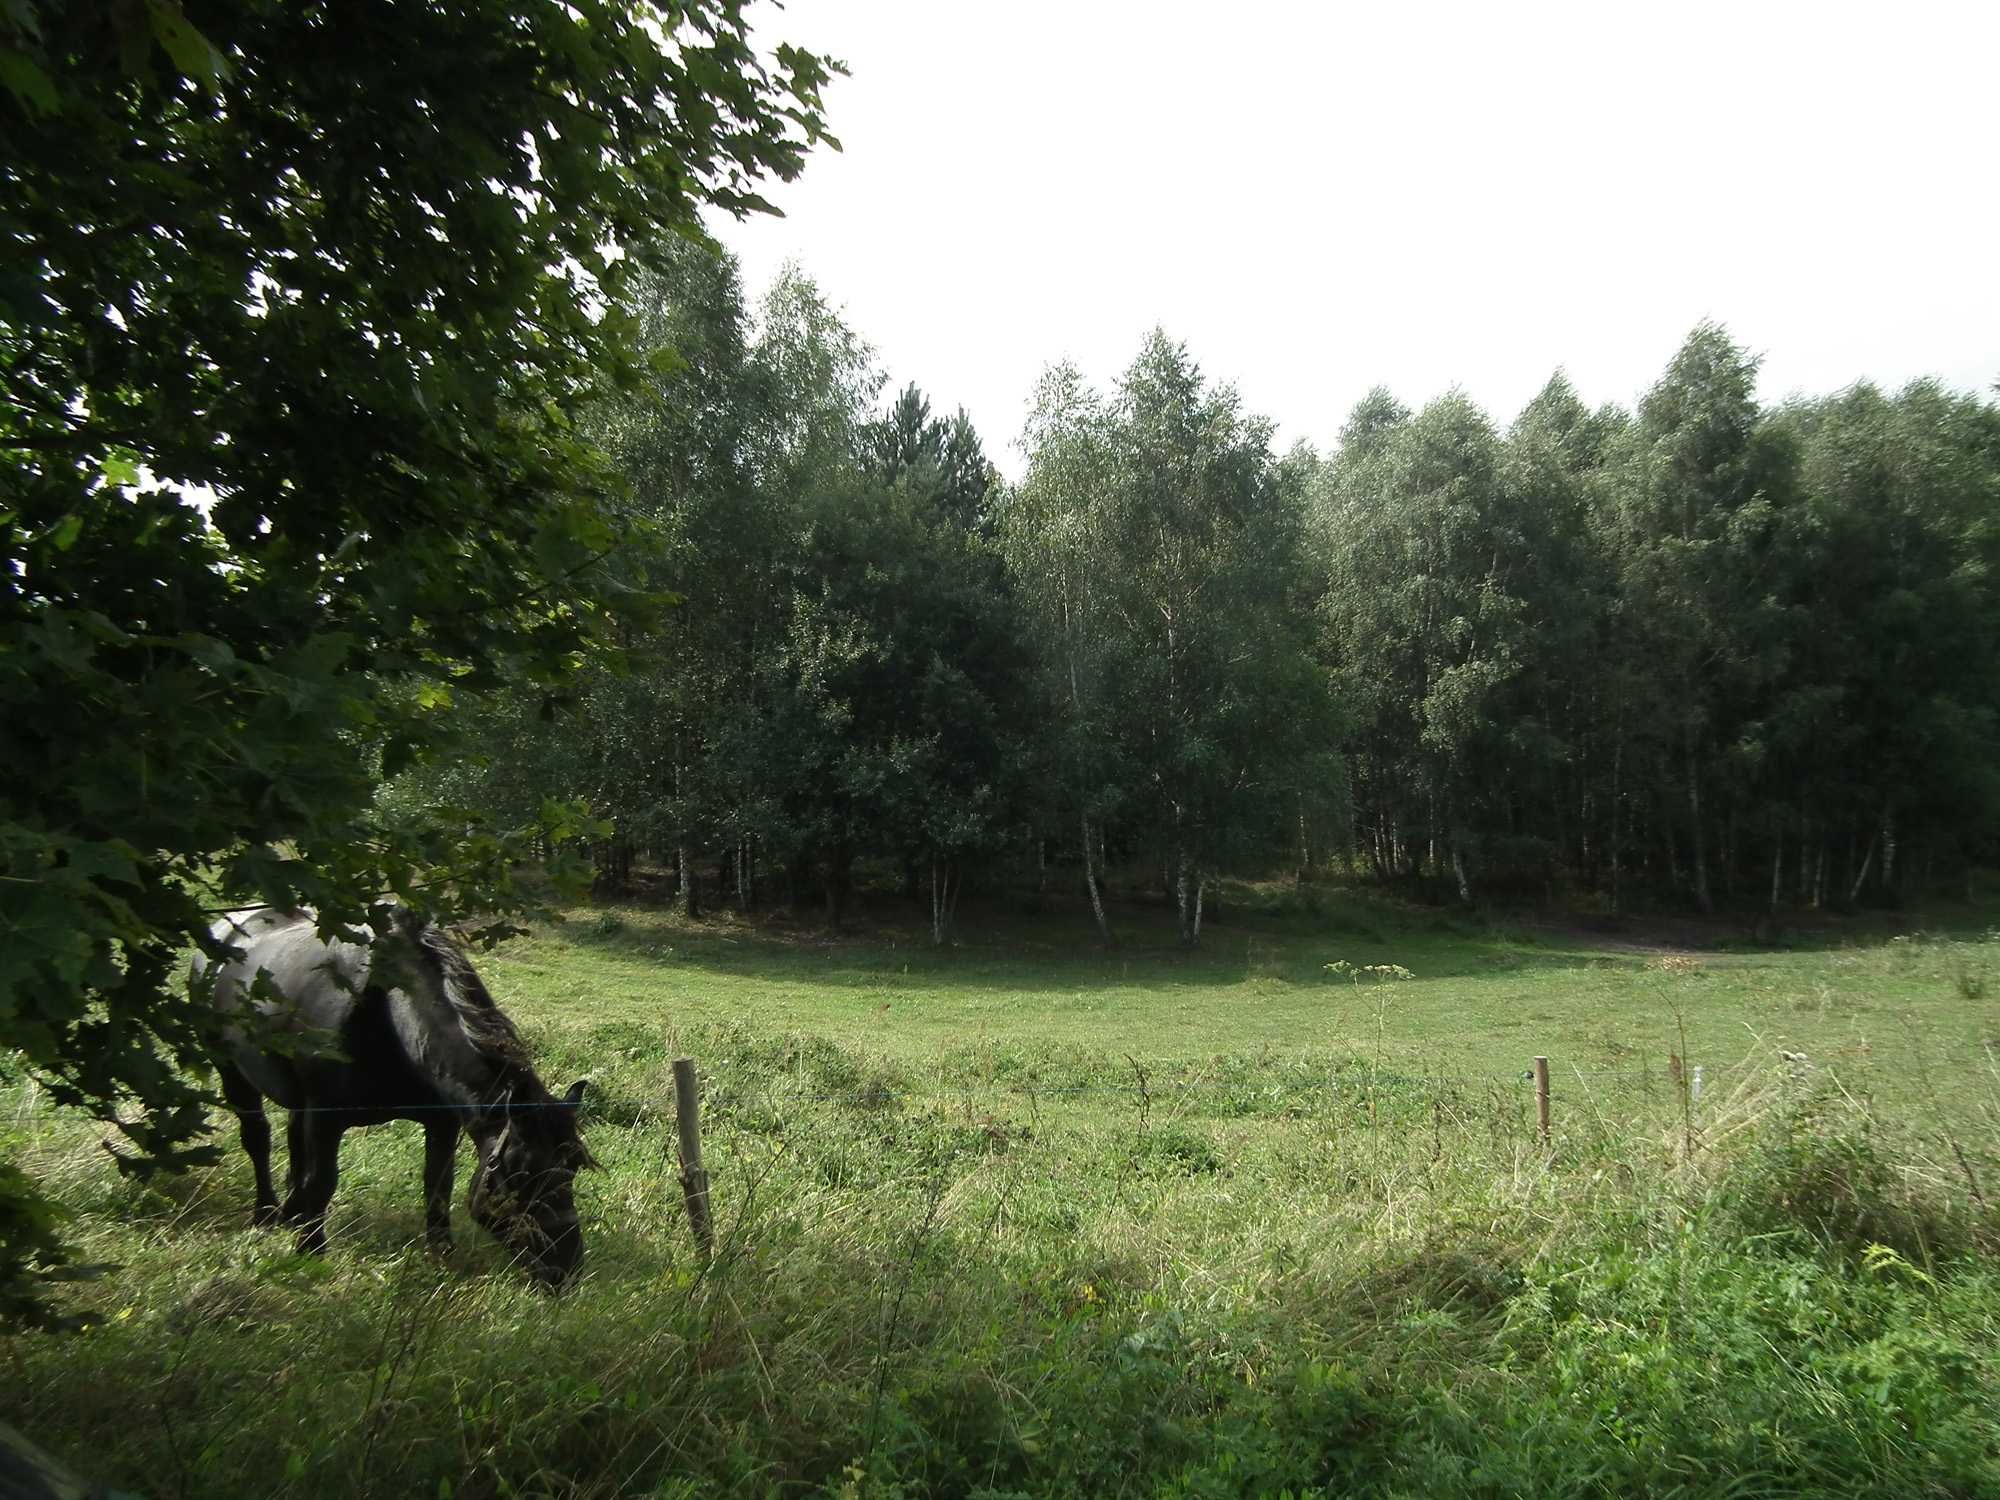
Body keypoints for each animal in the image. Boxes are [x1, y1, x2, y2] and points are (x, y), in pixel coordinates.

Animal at [198, 912, 596, 1288]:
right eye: (520, 1174)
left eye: (573, 1168)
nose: (564, 1268)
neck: (387, 1017)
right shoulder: (327, 1118)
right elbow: (323, 1181)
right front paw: (311, 1251)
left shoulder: (442, 1122)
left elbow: (438, 1185)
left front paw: (441, 1254)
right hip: (231, 1071)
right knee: (258, 1138)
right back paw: (266, 1213)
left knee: (295, 1140)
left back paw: (292, 1213)